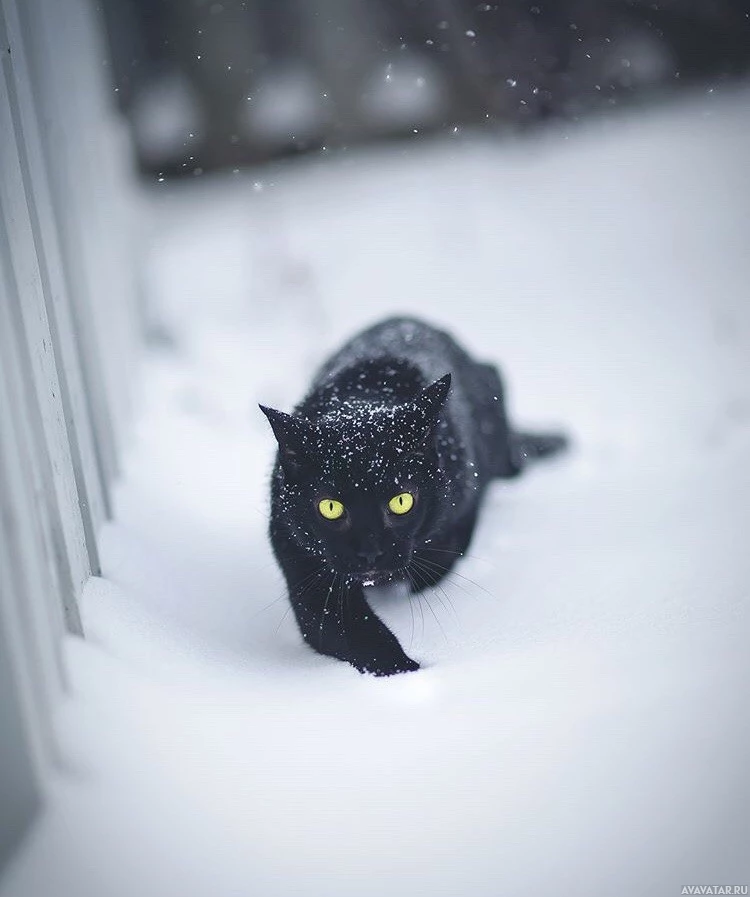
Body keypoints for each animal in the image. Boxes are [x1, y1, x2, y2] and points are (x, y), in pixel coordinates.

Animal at [262, 318, 568, 676]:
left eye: (401, 501)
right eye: (330, 507)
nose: (370, 553)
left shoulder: (458, 518)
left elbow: (433, 570)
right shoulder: (300, 555)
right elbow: (352, 633)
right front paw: (409, 673)